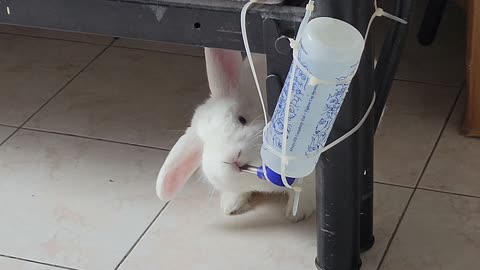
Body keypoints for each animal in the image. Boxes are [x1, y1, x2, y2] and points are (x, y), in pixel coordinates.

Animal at [156, 48, 316, 221]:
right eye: (206, 147)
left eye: (242, 119)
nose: (233, 157)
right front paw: (230, 206)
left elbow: (305, 190)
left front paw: (296, 214)